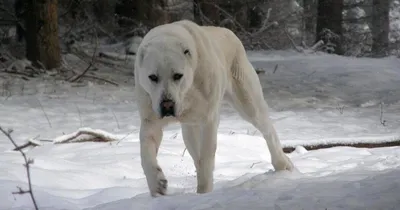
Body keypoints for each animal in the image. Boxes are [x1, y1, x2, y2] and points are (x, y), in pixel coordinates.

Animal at [134, 19, 294, 197]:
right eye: (153, 77)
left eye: (177, 75)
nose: (167, 105)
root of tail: (229, 33)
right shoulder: (150, 120)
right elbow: (145, 153)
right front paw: (157, 184)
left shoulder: (208, 120)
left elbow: (206, 157)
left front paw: (204, 193)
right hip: (189, 129)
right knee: (195, 153)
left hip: (249, 103)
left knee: (268, 131)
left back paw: (283, 164)